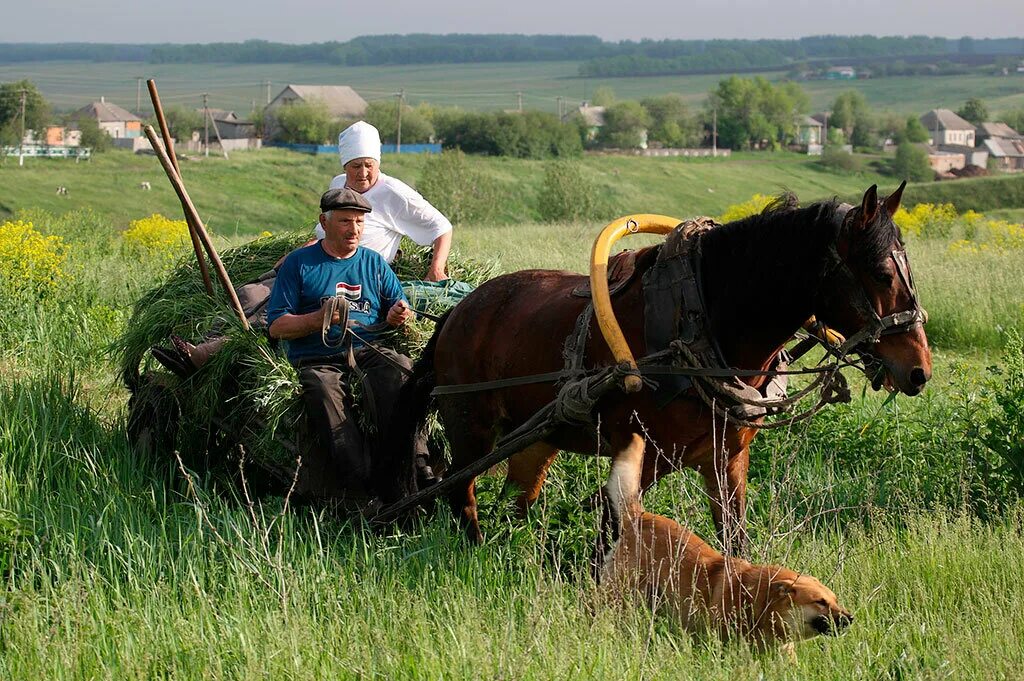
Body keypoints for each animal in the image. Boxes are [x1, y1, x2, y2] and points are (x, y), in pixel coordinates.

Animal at [380, 183, 933, 548]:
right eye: (882, 273)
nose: (919, 370)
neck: (702, 320)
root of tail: (457, 311)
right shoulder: (642, 455)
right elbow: (611, 530)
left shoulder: (727, 458)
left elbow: (733, 536)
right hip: (469, 425)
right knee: (462, 493)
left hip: (536, 436)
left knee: (519, 493)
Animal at [598, 432, 851, 647]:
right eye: (820, 602)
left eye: (835, 600)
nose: (851, 618)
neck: (759, 601)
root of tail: (638, 516)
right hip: (616, 597)